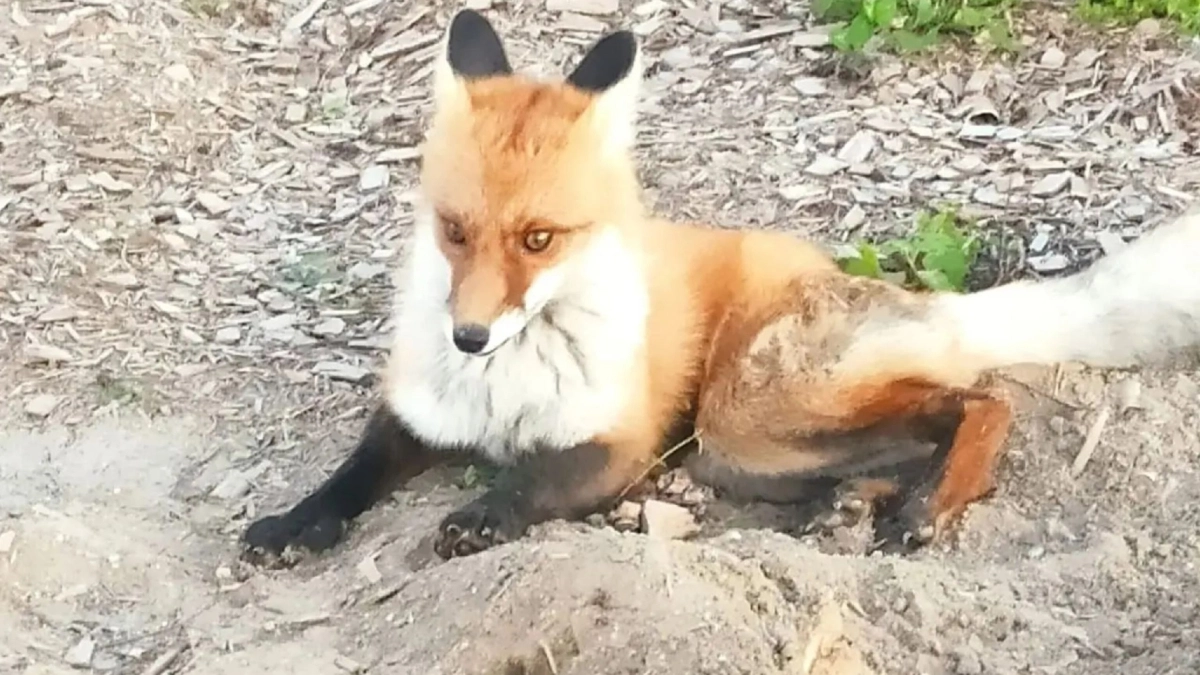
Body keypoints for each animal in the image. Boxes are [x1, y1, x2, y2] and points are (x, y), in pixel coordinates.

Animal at [242, 9, 1200, 563]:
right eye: (453, 231)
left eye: (538, 239)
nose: (468, 336)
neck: (503, 390)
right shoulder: (414, 417)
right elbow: (349, 476)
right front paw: (296, 522)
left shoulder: (619, 444)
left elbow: (530, 485)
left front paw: (483, 516)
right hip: (748, 452)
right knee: (903, 439)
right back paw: (860, 504)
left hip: (745, 412)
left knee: (984, 398)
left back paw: (932, 502)